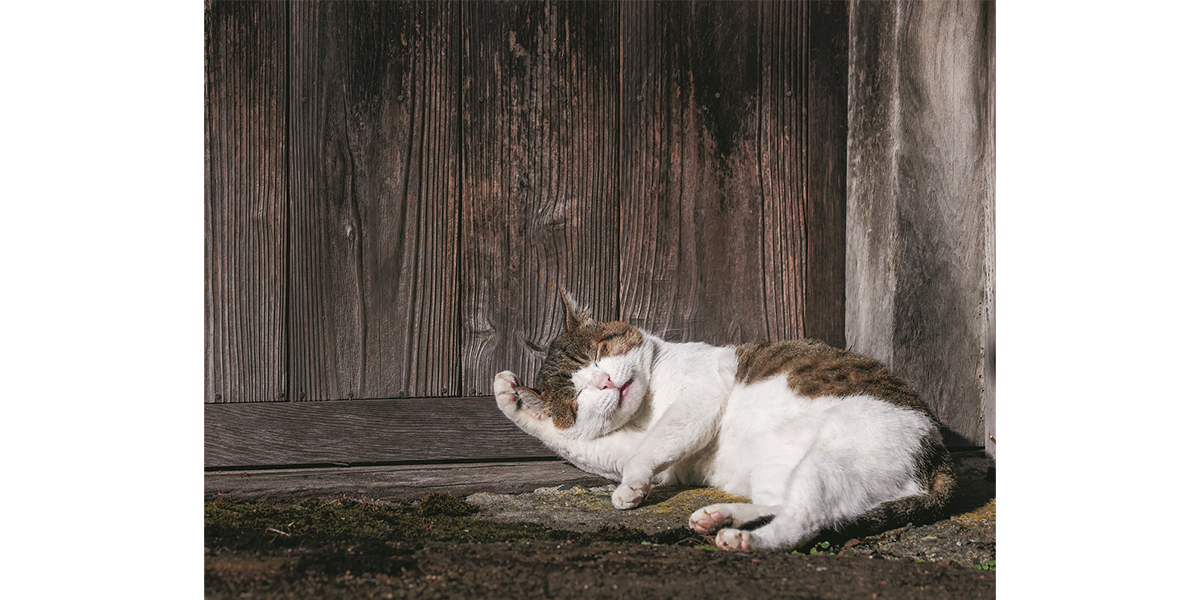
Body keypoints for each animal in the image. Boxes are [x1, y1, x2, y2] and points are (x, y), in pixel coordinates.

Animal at [489, 292, 955, 549]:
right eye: (576, 396)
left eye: (600, 353)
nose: (603, 381)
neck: (648, 406)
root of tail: (937, 450)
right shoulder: (641, 453)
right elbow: (582, 443)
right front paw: (510, 398)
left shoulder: (701, 394)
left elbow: (652, 444)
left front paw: (631, 487)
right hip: (779, 468)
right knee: (789, 504)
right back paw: (721, 517)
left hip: (832, 457)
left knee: (808, 519)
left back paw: (745, 540)